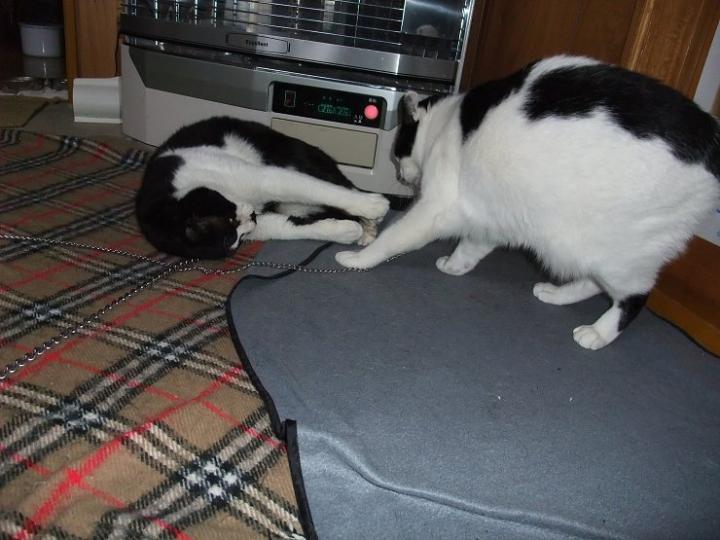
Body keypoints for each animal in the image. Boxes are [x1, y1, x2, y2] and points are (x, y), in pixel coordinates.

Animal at [136, 116, 391, 259]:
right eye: (235, 238)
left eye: (229, 218)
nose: (251, 218)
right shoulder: (260, 223)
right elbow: (286, 228)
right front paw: (344, 231)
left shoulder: (260, 177)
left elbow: (318, 189)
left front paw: (373, 206)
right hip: (294, 204)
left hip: (298, 158)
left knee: (339, 183)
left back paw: (370, 216)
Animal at [335, 55, 720, 350]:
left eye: (398, 148)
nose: (400, 174)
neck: (444, 124)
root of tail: (711, 143)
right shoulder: (488, 213)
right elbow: (471, 247)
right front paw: (455, 266)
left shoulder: (437, 207)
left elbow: (393, 238)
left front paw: (358, 259)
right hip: (579, 249)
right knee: (593, 283)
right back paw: (556, 294)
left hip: (615, 254)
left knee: (635, 296)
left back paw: (598, 333)